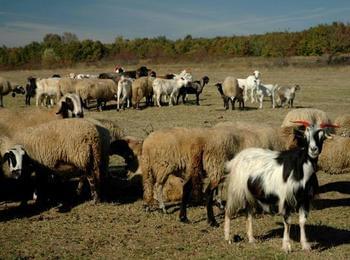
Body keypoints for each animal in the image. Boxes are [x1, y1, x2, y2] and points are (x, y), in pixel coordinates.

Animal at [224, 121, 336, 253]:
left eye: (322, 137)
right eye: (305, 136)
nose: (313, 150)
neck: (300, 168)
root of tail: (237, 158)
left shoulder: (304, 199)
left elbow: (302, 221)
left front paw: (305, 245)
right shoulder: (286, 198)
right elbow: (287, 221)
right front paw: (286, 247)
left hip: (249, 193)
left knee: (249, 213)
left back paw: (251, 238)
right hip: (236, 190)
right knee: (228, 210)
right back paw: (228, 238)